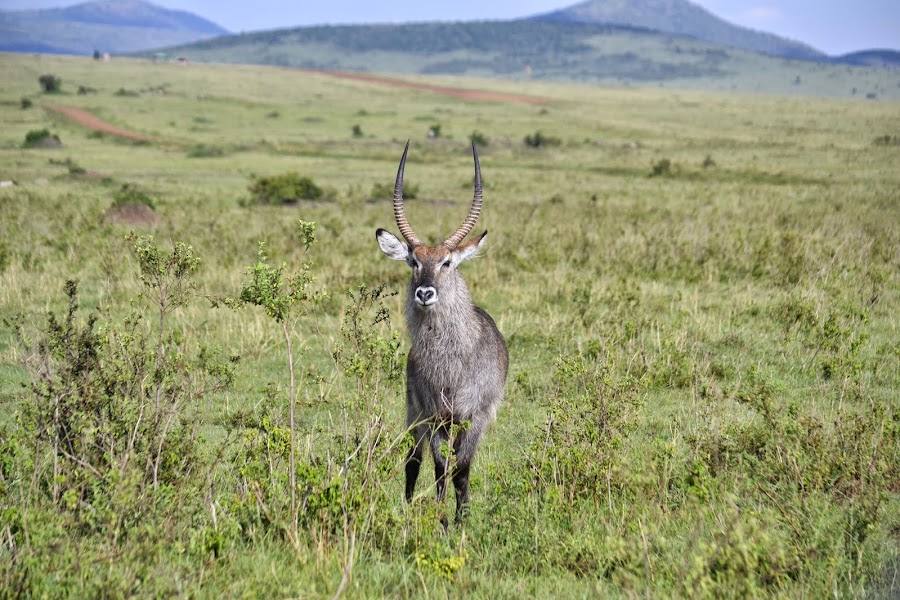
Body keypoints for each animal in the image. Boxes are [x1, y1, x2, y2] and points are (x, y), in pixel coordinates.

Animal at [374, 143, 506, 524]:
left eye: (447, 262)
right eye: (413, 262)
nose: (424, 293)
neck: (452, 366)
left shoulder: (474, 417)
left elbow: (461, 471)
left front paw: (460, 522)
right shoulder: (433, 417)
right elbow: (438, 469)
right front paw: (442, 520)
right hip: (413, 412)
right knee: (412, 461)